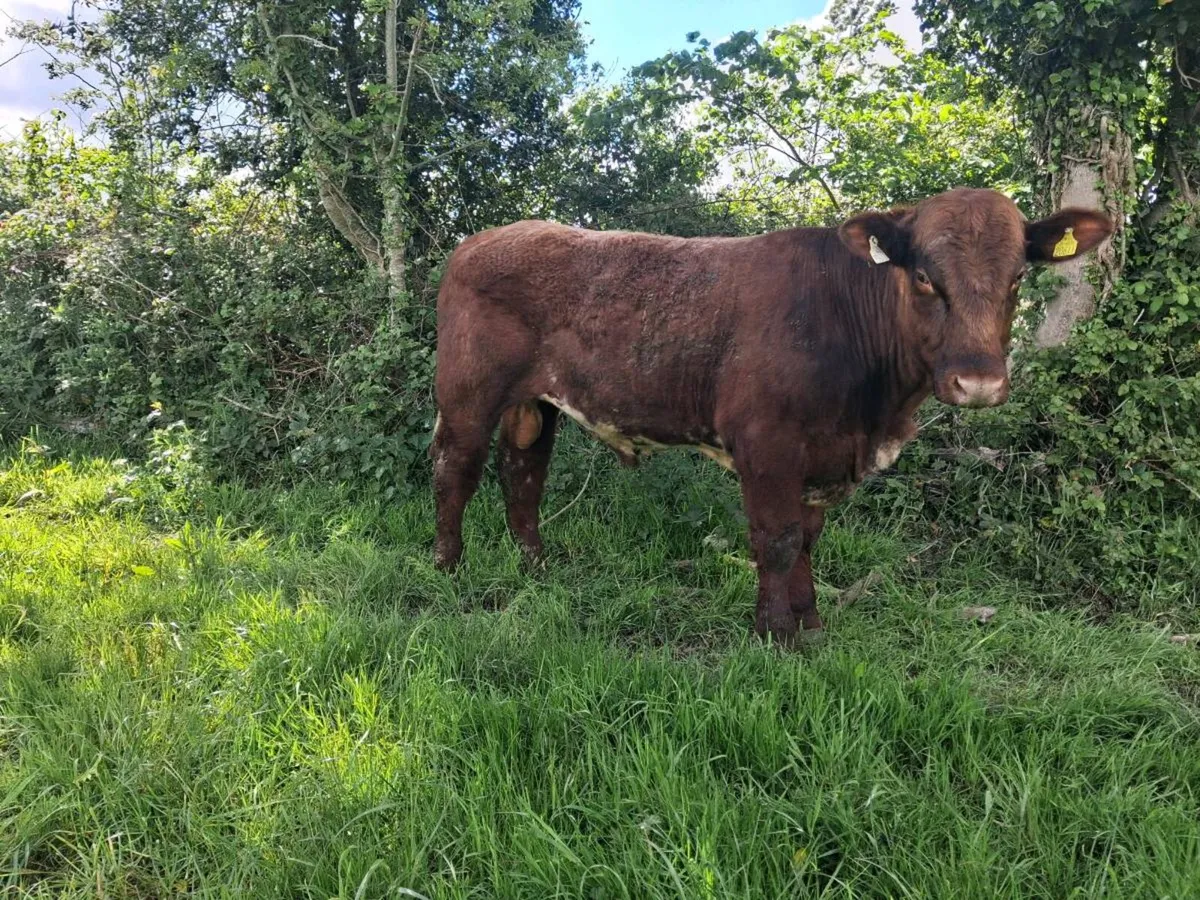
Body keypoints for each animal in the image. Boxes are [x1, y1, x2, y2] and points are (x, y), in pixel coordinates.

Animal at [430, 188, 1112, 644]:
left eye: (1018, 277)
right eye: (923, 276)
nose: (978, 383)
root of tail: (479, 240)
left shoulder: (824, 455)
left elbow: (807, 539)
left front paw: (809, 624)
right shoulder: (766, 442)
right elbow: (777, 541)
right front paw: (775, 633)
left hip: (535, 403)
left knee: (523, 475)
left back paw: (536, 569)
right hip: (467, 392)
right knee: (456, 470)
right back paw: (448, 568)